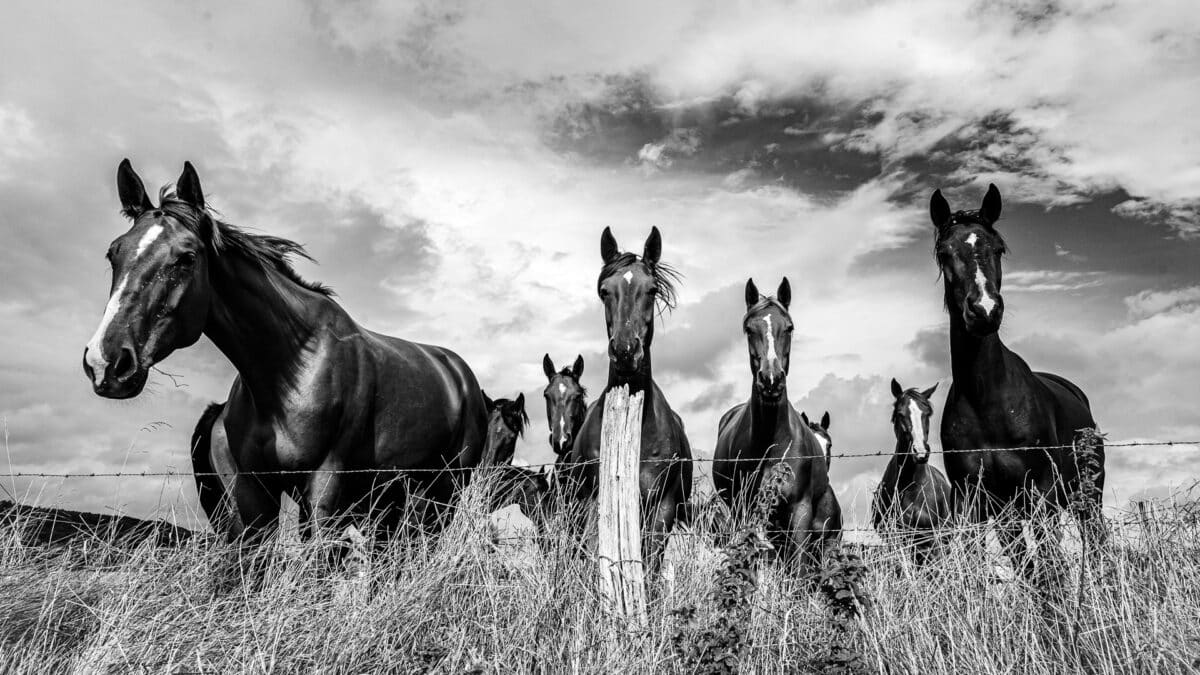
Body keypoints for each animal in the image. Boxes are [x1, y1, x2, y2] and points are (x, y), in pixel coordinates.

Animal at [85, 160, 488, 548]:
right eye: (113, 253)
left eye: (186, 258)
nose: (105, 361)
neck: (288, 372)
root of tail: (460, 375)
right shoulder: (252, 497)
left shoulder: (324, 487)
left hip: (441, 493)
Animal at [567, 226, 693, 575]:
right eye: (604, 291)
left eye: (651, 289)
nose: (625, 351)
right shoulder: (591, 503)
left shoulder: (661, 509)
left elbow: (649, 562)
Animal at [713, 278, 840, 574]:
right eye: (749, 328)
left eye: (789, 327)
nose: (770, 381)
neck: (772, 442)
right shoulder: (744, 509)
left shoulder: (800, 511)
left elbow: (799, 567)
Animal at [872, 379, 952, 565]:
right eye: (900, 414)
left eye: (927, 413)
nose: (920, 452)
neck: (912, 486)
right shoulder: (897, 536)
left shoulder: (930, 536)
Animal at [930, 184, 1106, 575]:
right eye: (944, 253)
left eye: (998, 248)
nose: (984, 310)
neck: (987, 400)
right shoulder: (974, 501)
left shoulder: (1041, 494)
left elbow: (1051, 567)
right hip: (1011, 513)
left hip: (1087, 497)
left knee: (1097, 545)